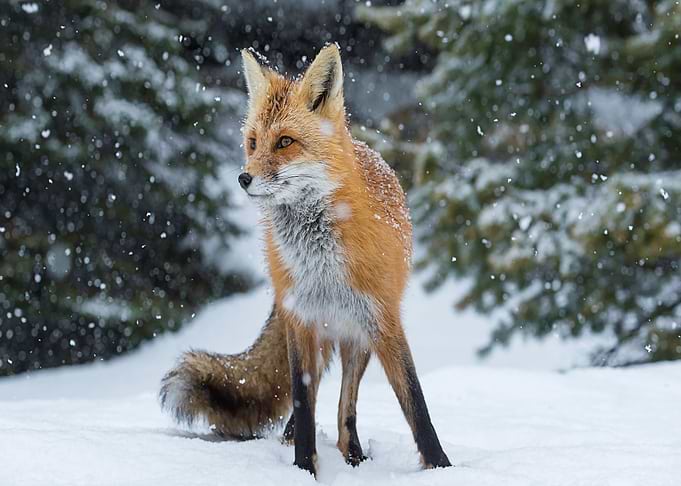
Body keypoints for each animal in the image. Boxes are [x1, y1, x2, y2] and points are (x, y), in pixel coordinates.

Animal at [160, 43, 451, 477]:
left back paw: (354, 456)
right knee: (310, 406)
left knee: (346, 406)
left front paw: (442, 466)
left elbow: (416, 403)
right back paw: (297, 441)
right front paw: (303, 468)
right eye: (252, 142)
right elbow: (301, 397)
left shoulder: (383, 319)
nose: (243, 179)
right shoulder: (300, 319)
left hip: (355, 337)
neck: (320, 265)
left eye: (285, 142)